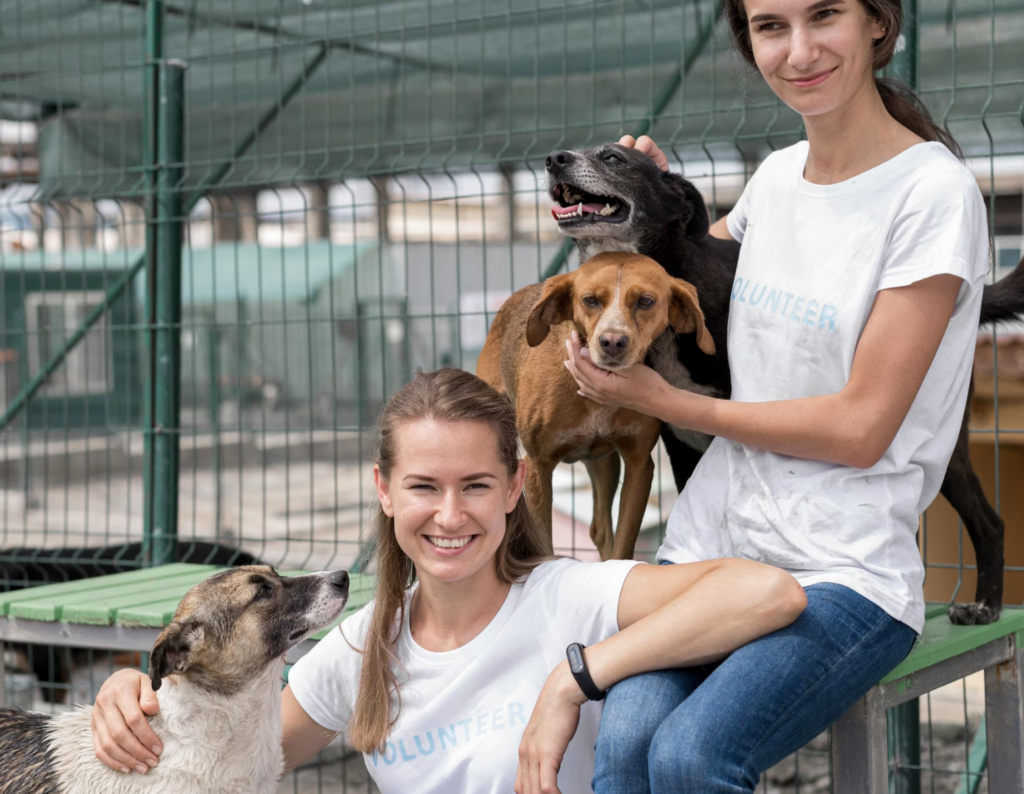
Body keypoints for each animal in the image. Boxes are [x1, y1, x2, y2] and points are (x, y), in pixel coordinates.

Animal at [477, 253, 712, 557]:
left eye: (645, 301)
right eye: (590, 300)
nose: (612, 341)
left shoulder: (639, 464)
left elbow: (622, 545)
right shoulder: (538, 467)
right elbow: (543, 547)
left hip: (603, 463)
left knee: (599, 529)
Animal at [552, 142, 1024, 627]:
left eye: (613, 157)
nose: (554, 159)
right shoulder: (680, 443)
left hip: (946, 452)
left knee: (988, 523)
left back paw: (985, 604)